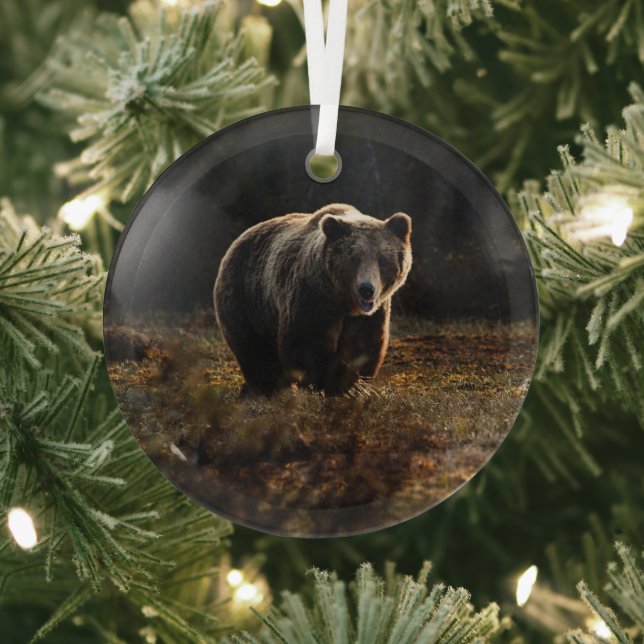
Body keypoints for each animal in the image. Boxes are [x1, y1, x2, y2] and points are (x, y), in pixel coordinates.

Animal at [214, 203, 412, 396]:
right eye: (354, 258)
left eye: (382, 260)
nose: (366, 290)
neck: (343, 301)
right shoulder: (312, 296)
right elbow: (306, 343)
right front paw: (346, 384)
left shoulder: (370, 314)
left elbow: (363, 343)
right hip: (248, 299)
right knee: (255, 351)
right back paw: (266, 388)